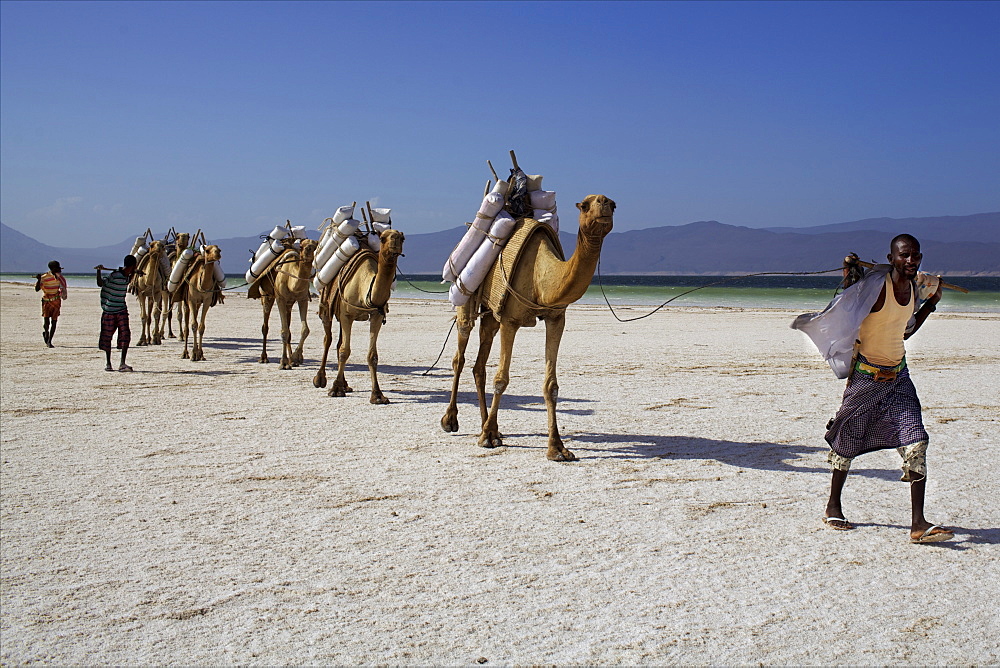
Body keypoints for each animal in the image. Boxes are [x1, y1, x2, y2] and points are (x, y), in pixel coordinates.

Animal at [250, 237, 316, 368]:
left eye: (315, 245)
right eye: (301, 246)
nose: (308, 249)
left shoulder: (302, 299)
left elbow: (305, 329)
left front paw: (295, 357)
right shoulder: (280, 298)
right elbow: (284, 331)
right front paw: (284, 362)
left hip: (289, 304)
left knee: (289, 328)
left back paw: (292, 360)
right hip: (267, 296)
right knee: (265, 326)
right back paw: (263, 358)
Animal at [314, 231, 404, 402]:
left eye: (403, 238)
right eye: (382, 238)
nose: (395, 239)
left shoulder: (376, 316)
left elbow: (372, 356)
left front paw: (377, 395)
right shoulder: (346, 315)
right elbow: (344, 351)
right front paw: (335, 389)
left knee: (338, 343)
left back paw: (345, 385)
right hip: (326, 308)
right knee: (328, 339)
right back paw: (320, 380)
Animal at [442, 193, 612, 460]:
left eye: (613, 205)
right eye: (585, 205)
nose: (605, 203)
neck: (539, 276)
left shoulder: (556, 319)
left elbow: (551, 385)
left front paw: (557, 448)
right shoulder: (510, 321)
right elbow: (501, 379)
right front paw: (487, 437)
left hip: (492, 314)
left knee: (479, 364)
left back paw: (488, 427)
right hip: (466, 297)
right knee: (460, 355)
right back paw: (452, 421)